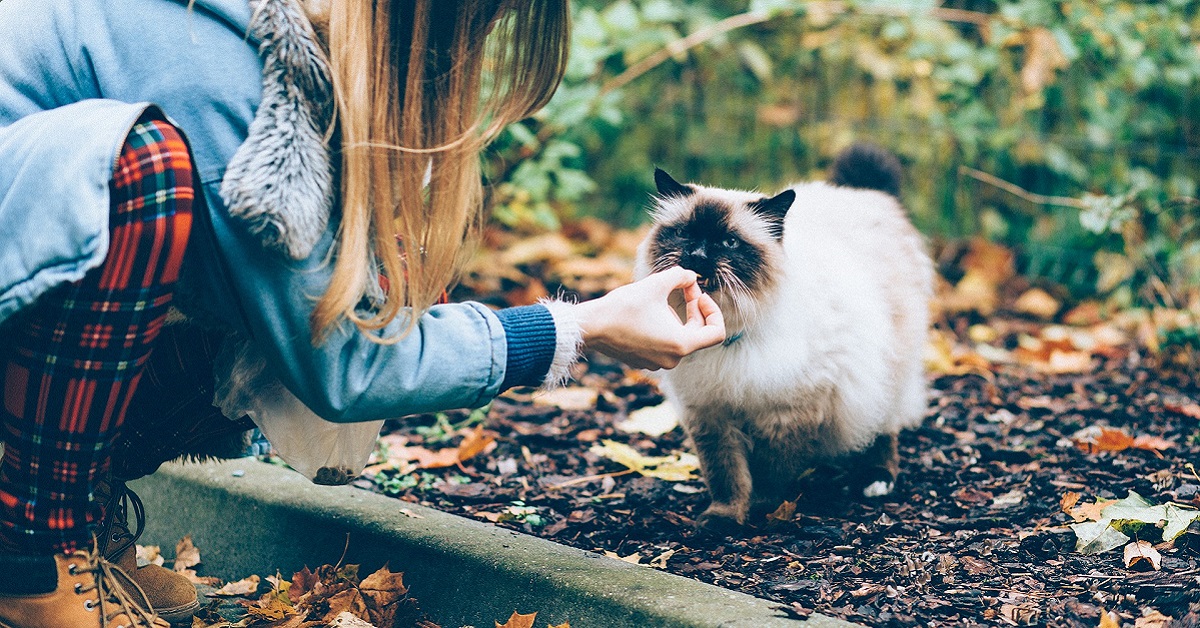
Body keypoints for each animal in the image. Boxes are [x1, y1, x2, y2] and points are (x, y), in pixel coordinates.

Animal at [633, 145, 931, 533]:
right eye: (685, 234)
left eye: (729, 242)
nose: (696, 257)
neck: (729, 335)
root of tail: (864, 194)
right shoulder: (711, 415)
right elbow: (726, 476)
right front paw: (723, 520)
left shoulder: (786, 415)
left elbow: (769, 473)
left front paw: (761, 511)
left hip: (885, 373)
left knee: (883, 428)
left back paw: (875, 480)